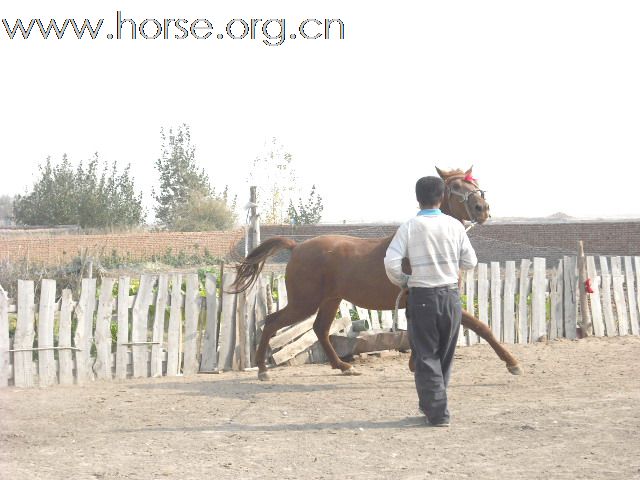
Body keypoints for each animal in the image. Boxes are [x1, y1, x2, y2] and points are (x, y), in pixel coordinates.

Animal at [232, 167, 524, 380]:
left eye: (476, 186)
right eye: (455, 188)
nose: (482, 209)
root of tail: (297, 246)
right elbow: (482, 327)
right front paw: (512, 363)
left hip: (330, 300)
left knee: (319, 329)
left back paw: (344, 366)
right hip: (304, 302)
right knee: (273, 322)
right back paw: (262, 370)